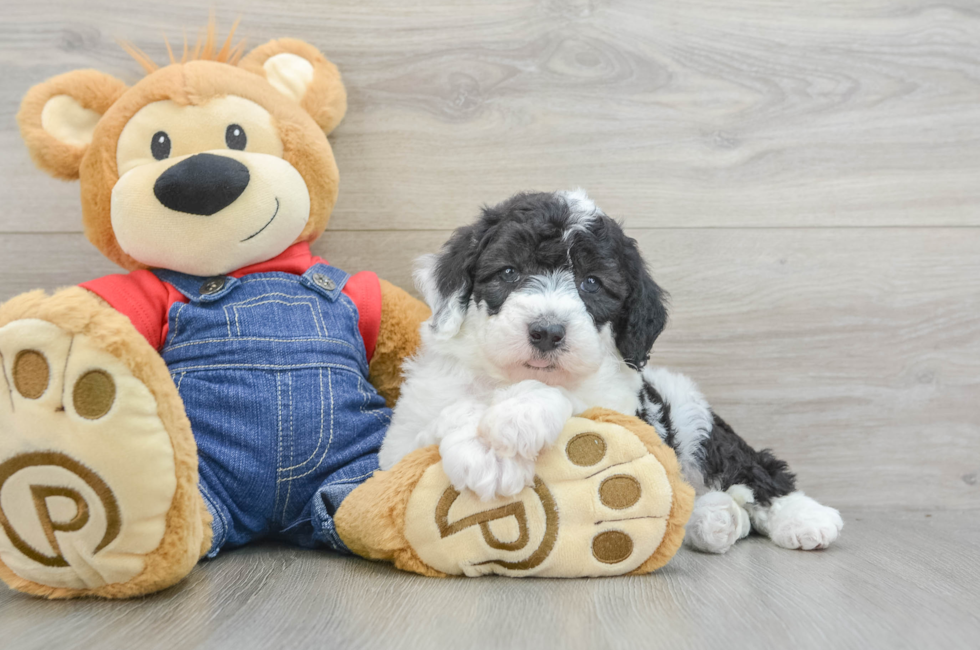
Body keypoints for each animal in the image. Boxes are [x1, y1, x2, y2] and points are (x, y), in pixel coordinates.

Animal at [378, 189, 848, 552]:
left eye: (591, 283)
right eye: (509, 271)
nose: (547, 332)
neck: (509, 376)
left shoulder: (621, 412)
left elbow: (569, 398)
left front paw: (516, 419)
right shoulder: (395, 455)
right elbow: (442, 420)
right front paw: (487, 454)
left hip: (694, 417)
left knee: (758, 469)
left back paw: (804, 519)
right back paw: (713, 519)